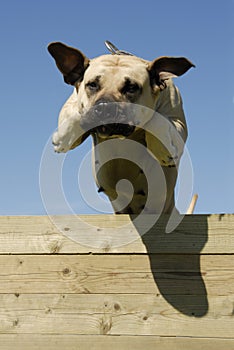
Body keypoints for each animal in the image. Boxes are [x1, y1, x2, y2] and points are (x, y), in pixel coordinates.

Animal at [47, 42, 194, 215]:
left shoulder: (178, 123)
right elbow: (76, 112)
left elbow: (156, 119)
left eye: (131, 88)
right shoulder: (72, 102)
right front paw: (63, 138)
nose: (105, 107)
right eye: (92, 85)